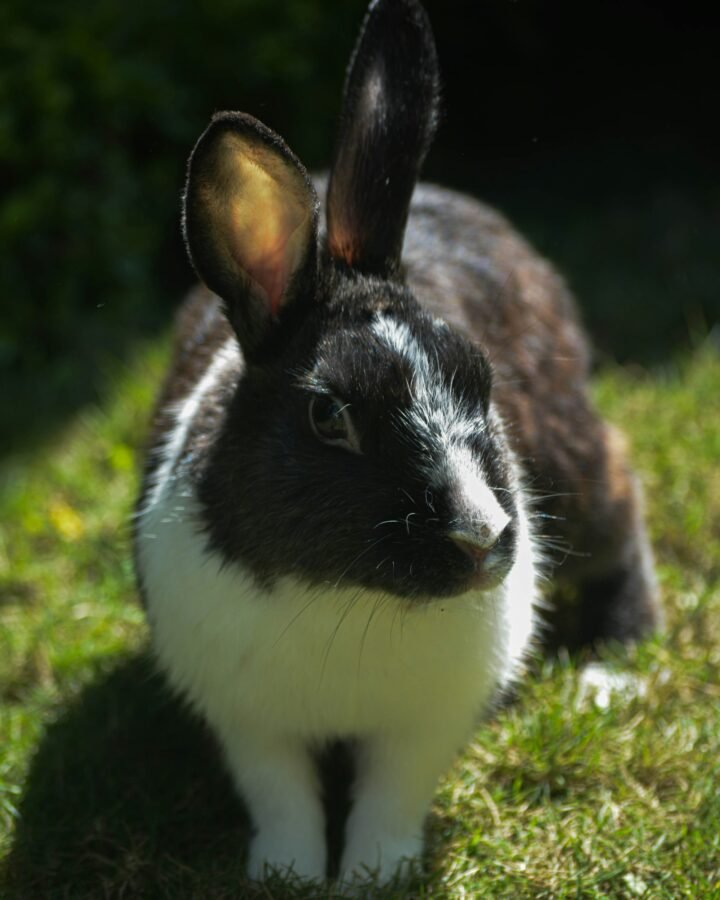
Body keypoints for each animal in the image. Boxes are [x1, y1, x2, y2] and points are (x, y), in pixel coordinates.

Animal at [134, 0, 660, 886]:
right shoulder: (250, 724)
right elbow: (281, 795)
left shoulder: (424, 726)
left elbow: (391, 794)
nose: (482, 538)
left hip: (579, 467)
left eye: (481, 376)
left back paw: (609, 669)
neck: (350, 595)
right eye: (327, 416)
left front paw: (371, 876)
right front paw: (288, 875)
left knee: (623, 508)